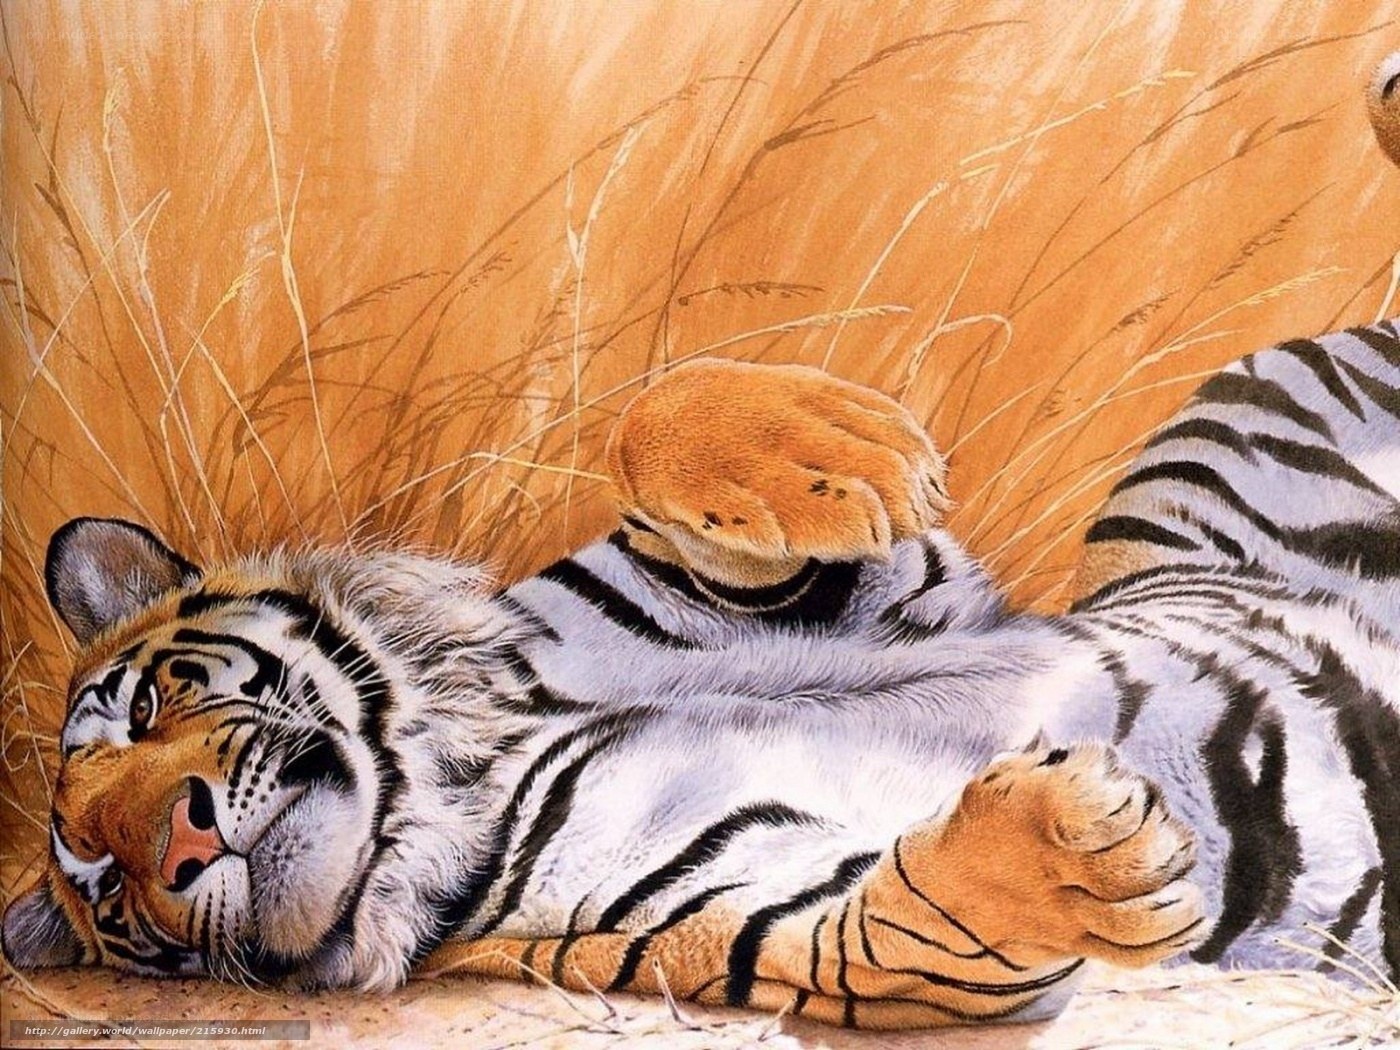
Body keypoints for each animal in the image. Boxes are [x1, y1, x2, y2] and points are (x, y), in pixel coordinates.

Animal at [3, 51, 1399, 1033]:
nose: (178, 844)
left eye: (146, 707)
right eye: (105, 883)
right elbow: (910, 918)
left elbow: (657, 420)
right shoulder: (759, 907)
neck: (452, 777)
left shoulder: (836, 589)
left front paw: (833, 451)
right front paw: (1072, 839)